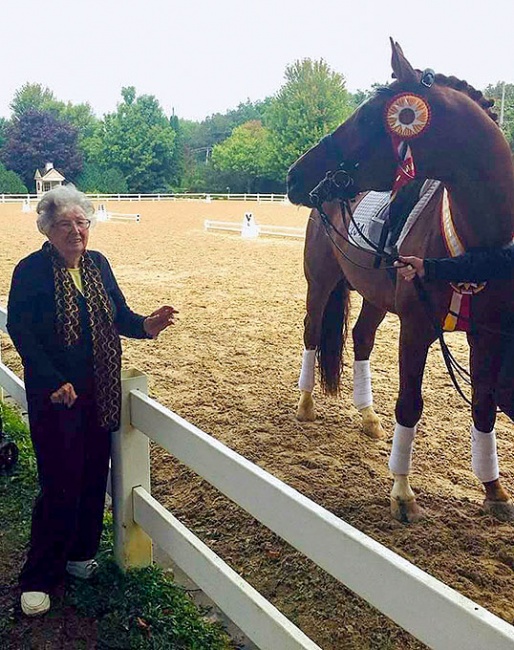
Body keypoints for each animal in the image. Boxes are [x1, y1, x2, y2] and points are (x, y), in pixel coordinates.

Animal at [286, 39, 512, 520]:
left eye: (367, 118)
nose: (295, 175)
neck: (480, 246)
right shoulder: (416, 329)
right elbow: (410, 405)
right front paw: (403, 492)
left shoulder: (488, 334)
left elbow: (484, 407)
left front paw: (494, 489)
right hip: (320, 285)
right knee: (312, 334)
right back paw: (306, 403)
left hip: (373, 296)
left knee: (361, 338)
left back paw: (368, 416)